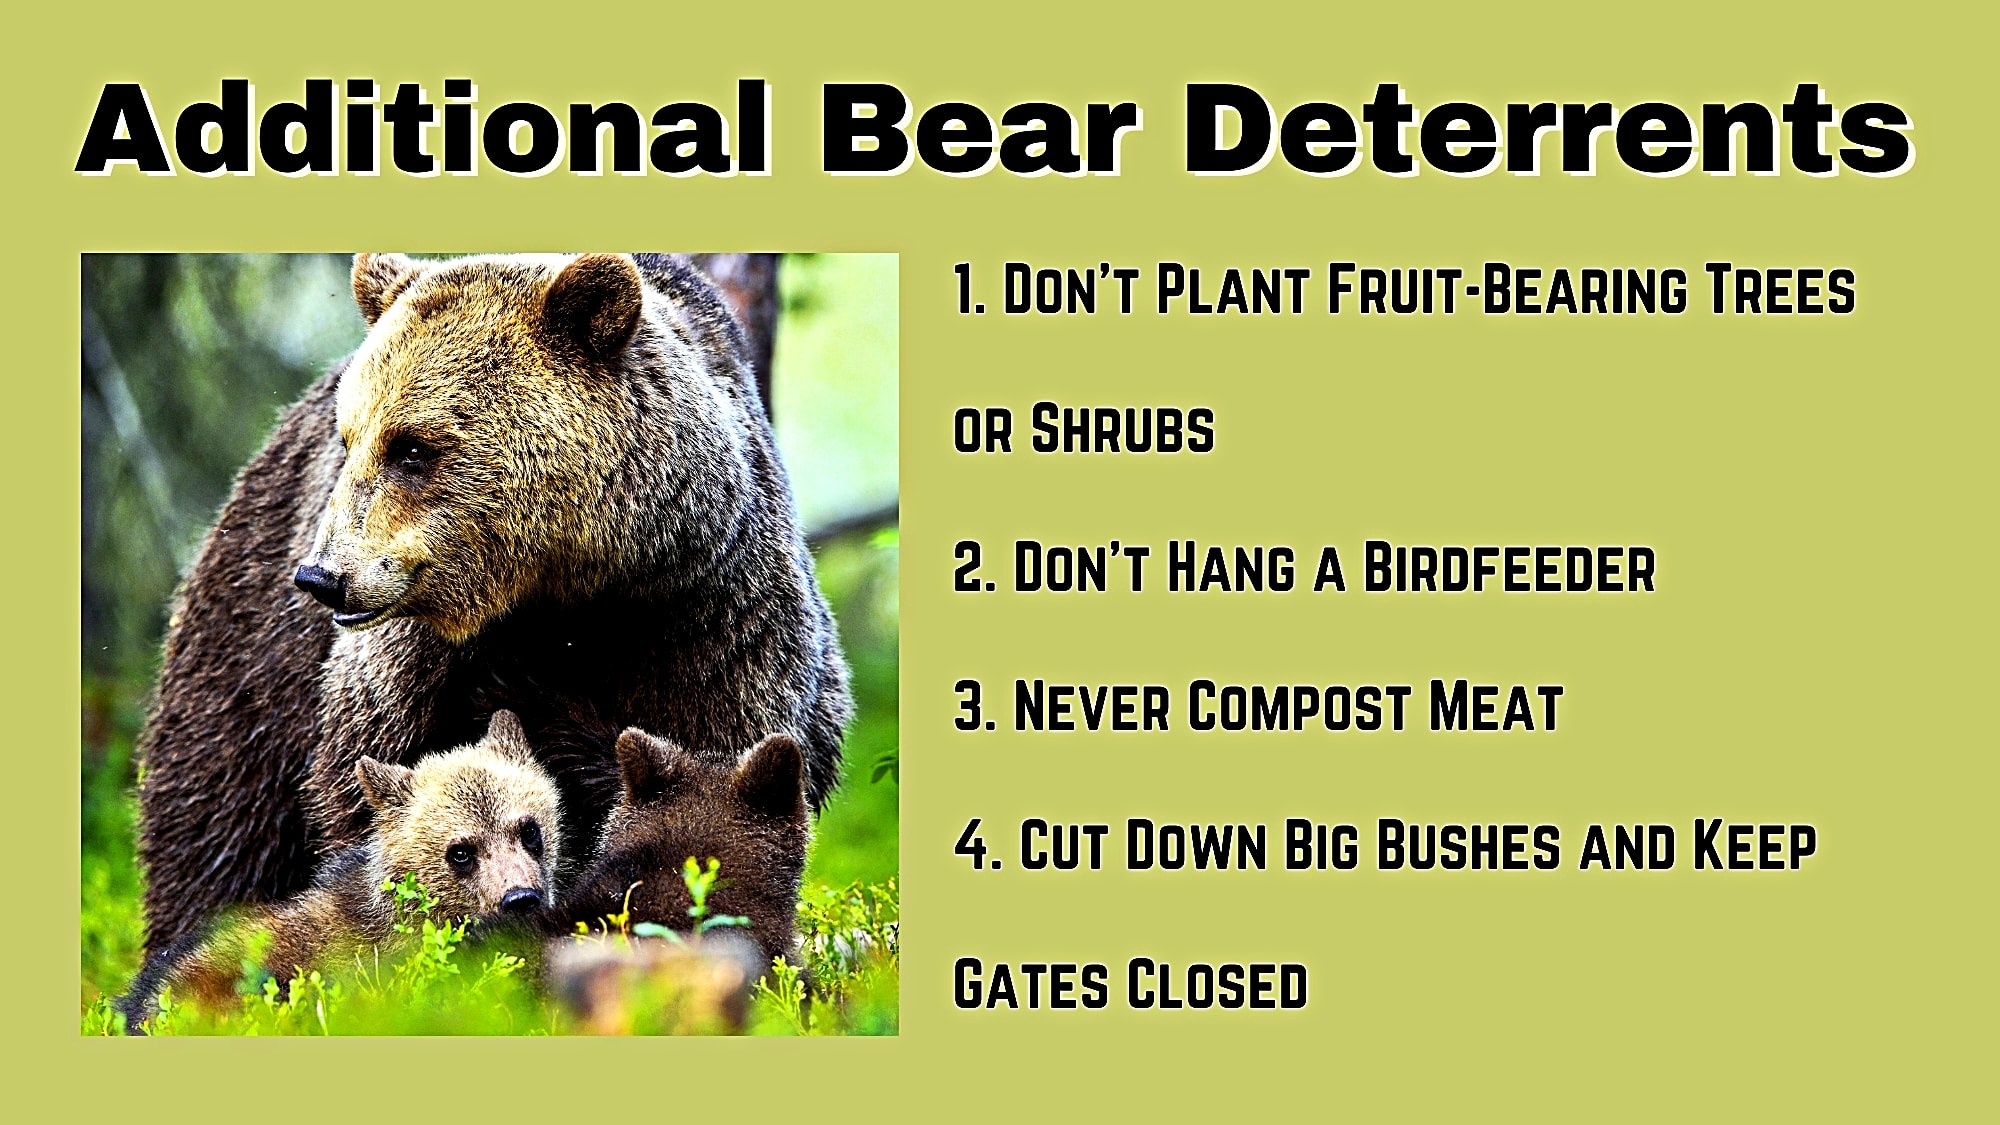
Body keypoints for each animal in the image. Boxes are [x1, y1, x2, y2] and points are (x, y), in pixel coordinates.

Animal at [133, 252, 851, 955]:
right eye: (350, 438)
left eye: (411, 446)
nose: (321, 576)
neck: (569, 586)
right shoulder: (409, 667)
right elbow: (373, 793)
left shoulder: (703, 617)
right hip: (250, 662)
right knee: (217, 826)